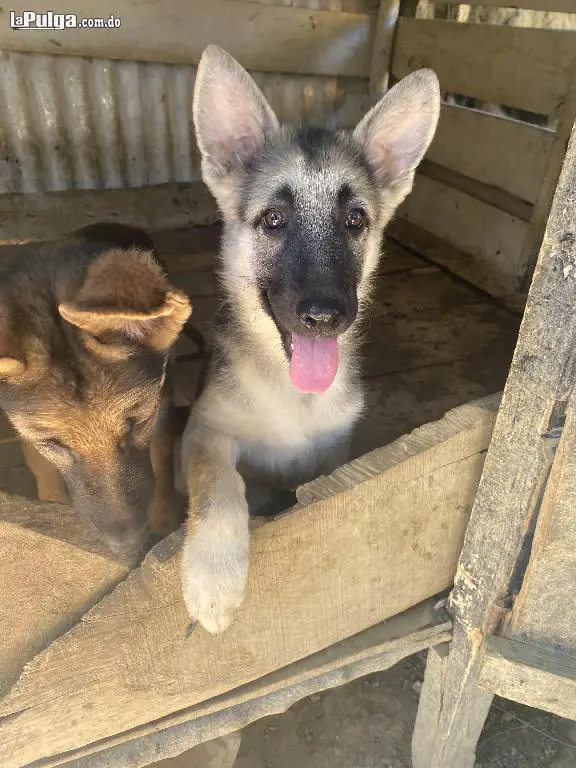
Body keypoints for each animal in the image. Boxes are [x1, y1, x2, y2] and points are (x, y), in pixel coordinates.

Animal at [0, 220, 194, 560]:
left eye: (137, 423)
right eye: (51, 443)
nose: (127, 548)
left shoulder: (162, 406)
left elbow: (160, 460)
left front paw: (165, 520)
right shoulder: (29, 438)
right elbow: (45, 475)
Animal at [182, 45, 438, 632]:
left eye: (355, 220)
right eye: (274, 219)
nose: (325, 316)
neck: (290, 392)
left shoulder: (333, 451)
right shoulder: (204, 431)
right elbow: (218, 485)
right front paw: (213, 575)